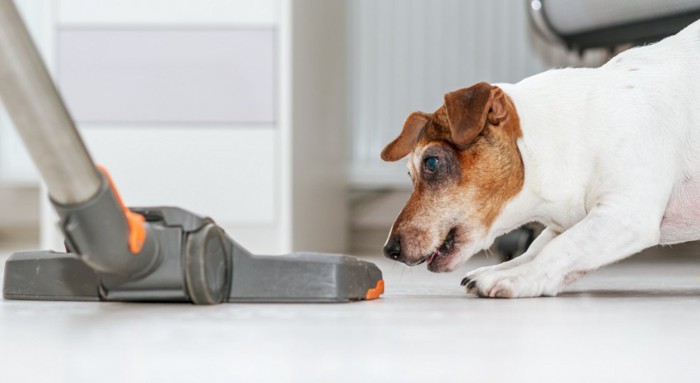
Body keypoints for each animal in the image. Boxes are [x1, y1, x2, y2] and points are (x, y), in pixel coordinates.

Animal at [380, 18, 700, 300]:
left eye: (431, 163)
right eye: (409, 175)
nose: (389, 250)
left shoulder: (625, 214)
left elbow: (560, 249)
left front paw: (513, 278)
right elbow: (539, 247)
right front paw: (504, 269)